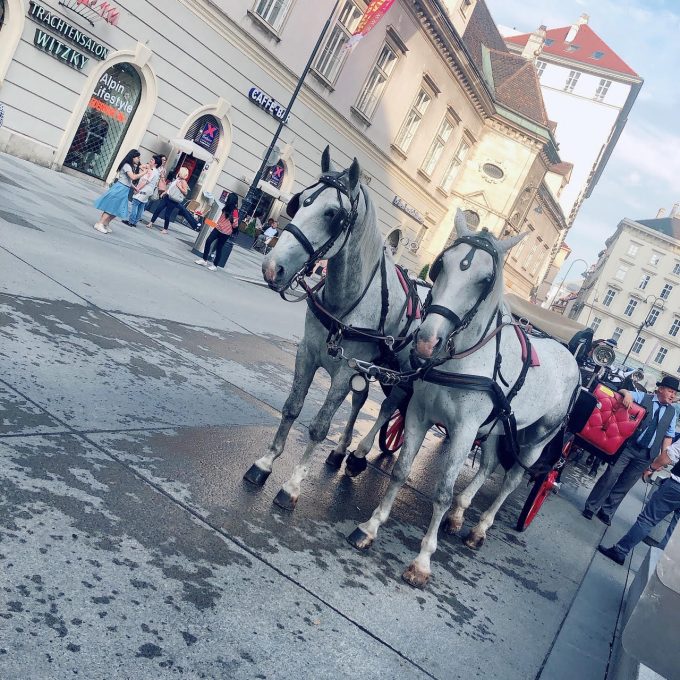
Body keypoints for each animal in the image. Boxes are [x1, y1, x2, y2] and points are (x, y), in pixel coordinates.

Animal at [242, 149, 422, 510]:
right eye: (299, 202)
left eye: (333, 214)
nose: (271, 268)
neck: (346, 303)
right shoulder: (308, 354)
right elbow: (292, 408)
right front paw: (266, 462)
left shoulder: (345, 372)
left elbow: (319, 426)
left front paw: (293, 484)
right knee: (361, 400)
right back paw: (341, 451)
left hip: (400, 377)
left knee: (388, 407)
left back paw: (359, 454)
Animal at [350, 212, 580, 588]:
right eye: (440, 266)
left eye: (485, 280)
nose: (425, 341)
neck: (461, 357)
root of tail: (571, 356)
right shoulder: (418, 413)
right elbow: (400, 470)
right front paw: (371, 526)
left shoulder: (464, 431)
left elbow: (442, 491)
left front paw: (423, 560)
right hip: (500, 426)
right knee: (488, 465)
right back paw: (460, 512)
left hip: (537, 438)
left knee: (513, 478)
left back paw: (480, 528)